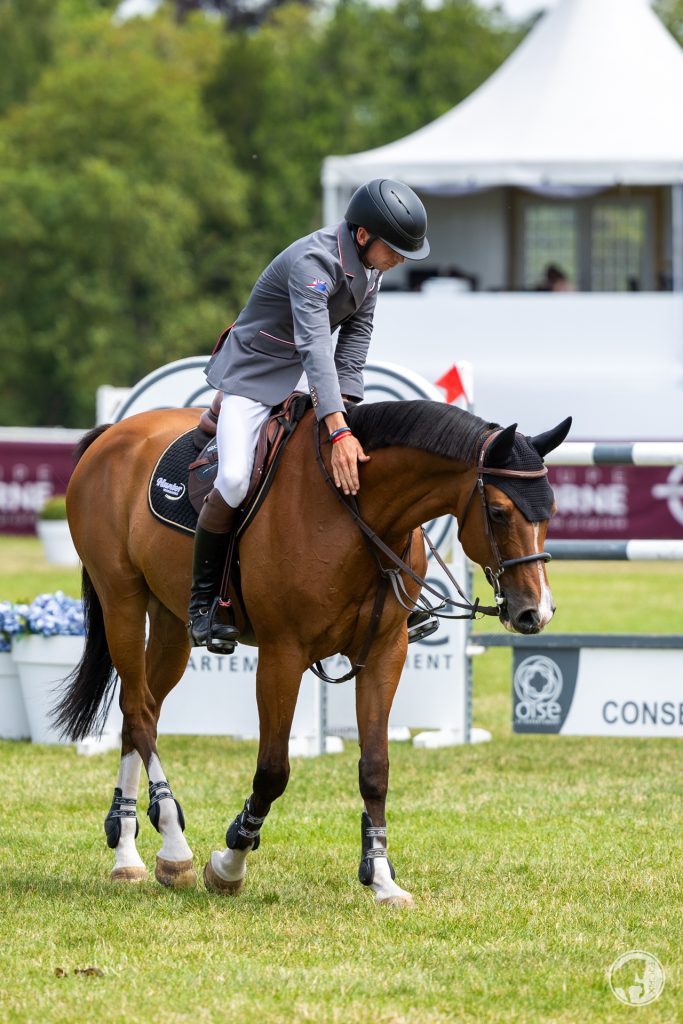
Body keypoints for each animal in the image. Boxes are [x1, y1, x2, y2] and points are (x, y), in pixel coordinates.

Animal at [53, 395, 569, 909]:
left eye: (551, 510)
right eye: (499, 511)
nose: (536, 612)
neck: (357, 514)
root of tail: (115, 433)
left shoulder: (386, 652)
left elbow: (375, 768)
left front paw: (381, 877)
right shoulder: (283, 655)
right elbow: (272, 770)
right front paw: (230, 862)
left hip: (168, 621)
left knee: (139, 711)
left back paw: (129, 852)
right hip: (121, 600)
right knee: (140, 711)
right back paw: (172, 846)